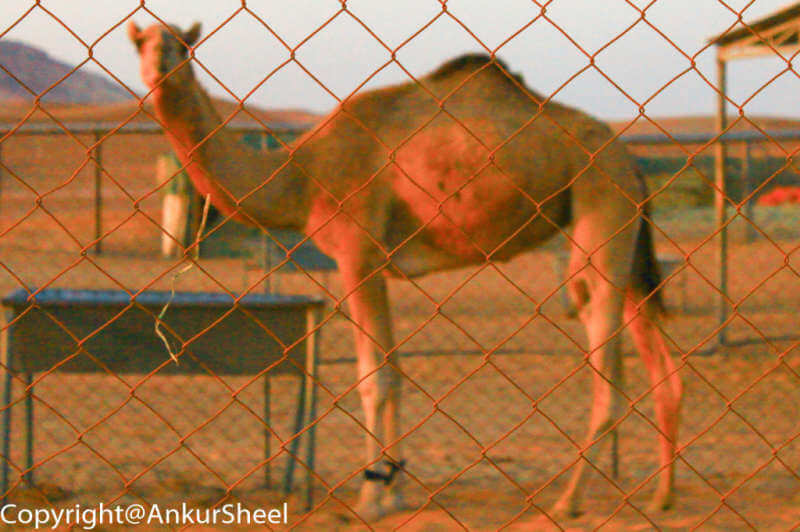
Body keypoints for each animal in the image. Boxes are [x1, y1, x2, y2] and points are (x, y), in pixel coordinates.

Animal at [130, 21, 680, 524]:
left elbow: (373, 377)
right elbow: (394, 370)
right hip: (626, 240)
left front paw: (371, 497)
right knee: (662, 368)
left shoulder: (356, 254)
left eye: (182, 44)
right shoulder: (376, 265)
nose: (159, 63)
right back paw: (661, 496)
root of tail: (633, 164)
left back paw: (570, 501)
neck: (302, 175)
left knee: (607, 369)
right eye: (140, 41)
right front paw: (393, 487)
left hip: (601, 209)